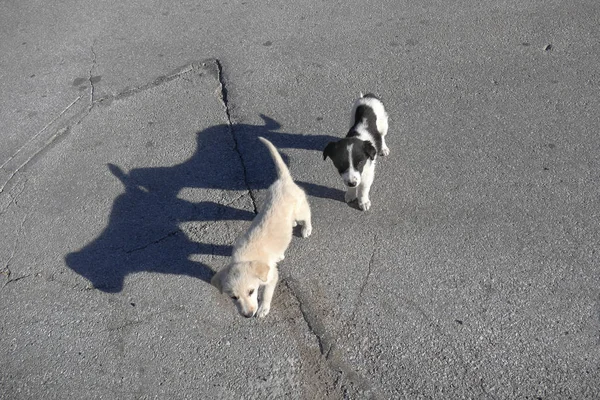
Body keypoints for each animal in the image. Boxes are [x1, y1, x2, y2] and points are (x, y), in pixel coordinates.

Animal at [212, 138, 314, 318]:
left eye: (251, 291)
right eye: (234, 297)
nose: (247, 315)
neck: (245, 257)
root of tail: (284, 181)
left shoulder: (272, 277)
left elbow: (267, 293)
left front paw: (263, 308)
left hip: (300, 209)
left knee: (307, 214)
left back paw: (306, 228)